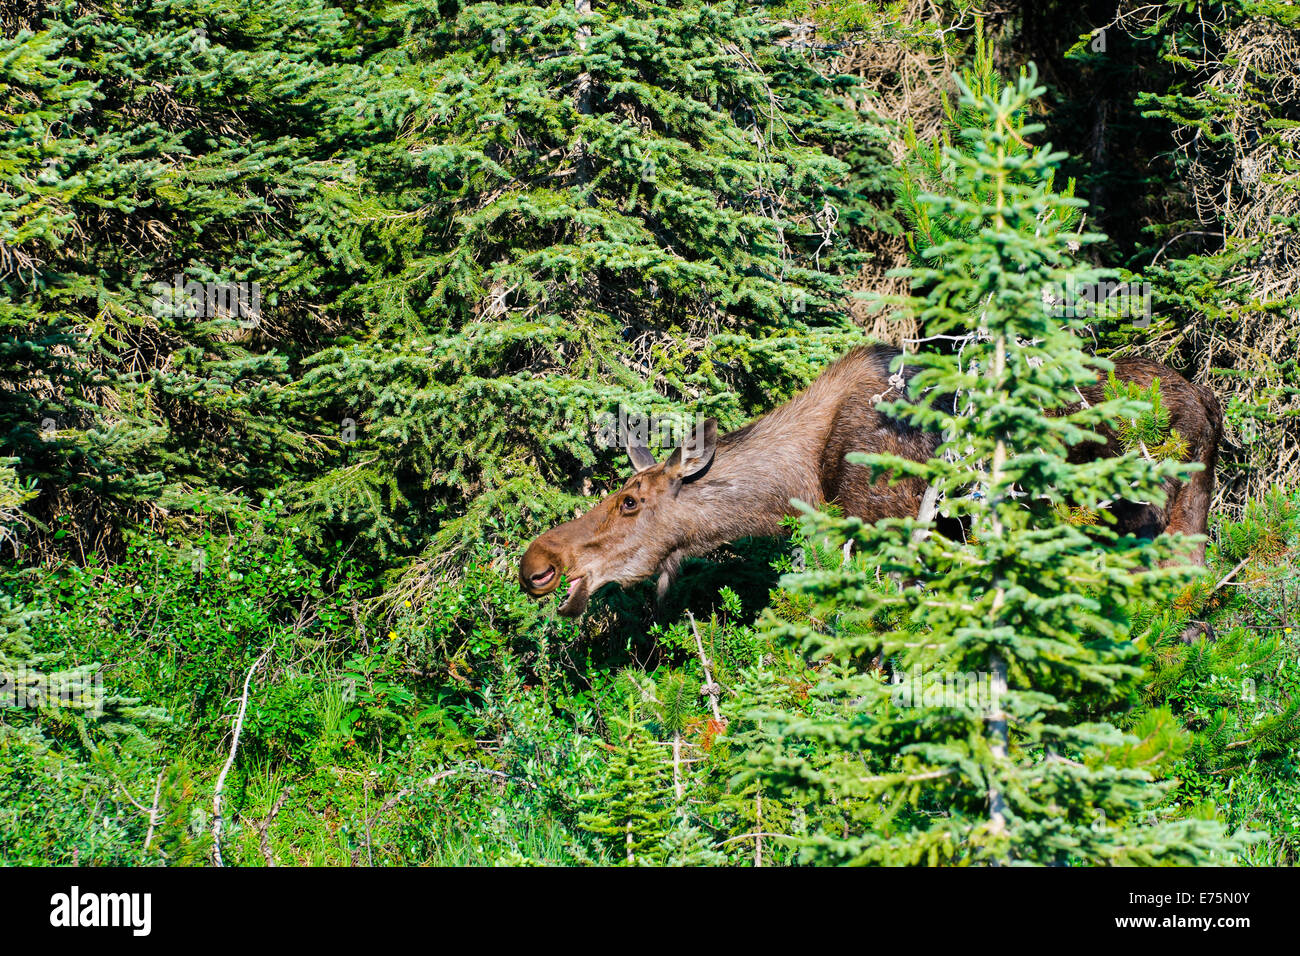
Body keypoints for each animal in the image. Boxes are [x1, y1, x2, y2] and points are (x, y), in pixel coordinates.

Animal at [514, 348, 1216, 616]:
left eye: (629, 501)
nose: (536, 564)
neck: (802, 482)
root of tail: (1212, 407)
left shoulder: (891, 530)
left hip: (1153, 523)